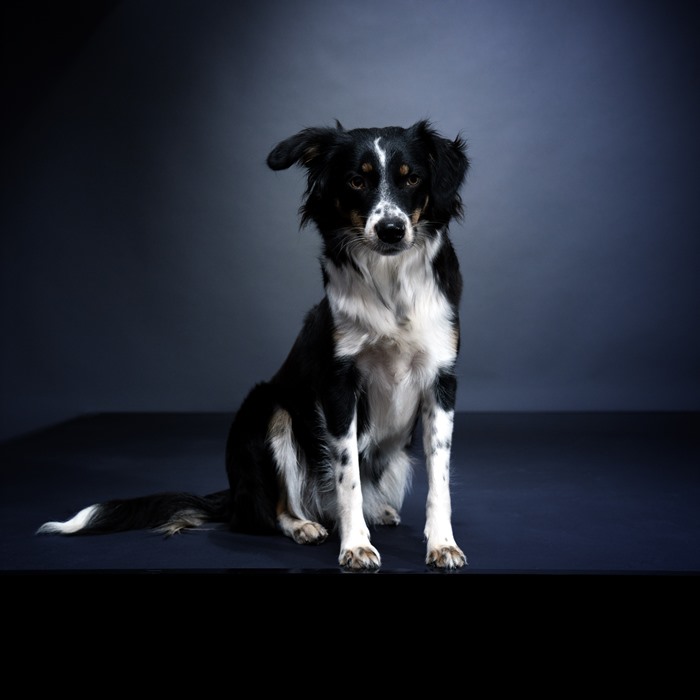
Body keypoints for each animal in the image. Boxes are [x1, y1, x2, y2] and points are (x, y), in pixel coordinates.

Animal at [41, 119, 474, 568]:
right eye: (357, 181)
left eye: (412, 179)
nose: (391, 230)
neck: (391, 284)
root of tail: (235, 494)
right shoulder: (339, 386)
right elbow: (347, 475)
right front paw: (355, 544)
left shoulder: (441, 382)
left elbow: (439, 478)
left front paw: (442, 543)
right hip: (266, 412)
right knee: (269, 511)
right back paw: (304, 525)